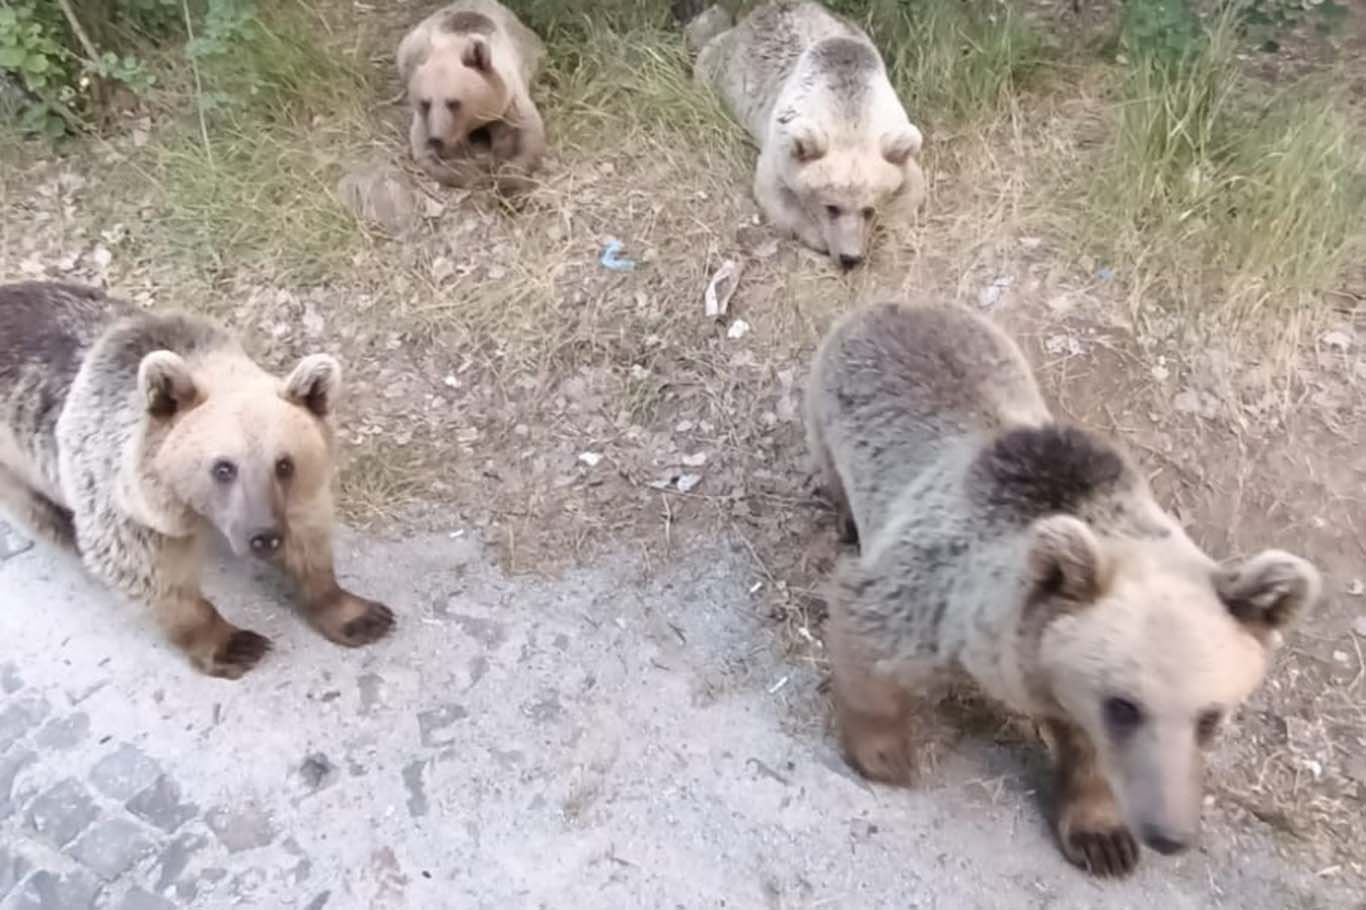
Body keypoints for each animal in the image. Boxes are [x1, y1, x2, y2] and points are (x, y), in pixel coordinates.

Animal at [0, 280, 396, 677]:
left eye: (285, 464)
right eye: (223, 467)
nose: (263, 538)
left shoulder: (294, 497)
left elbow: (308, 538)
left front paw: (357, 614)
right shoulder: (127, 497)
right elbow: (150, 572)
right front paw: (234, 644)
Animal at [693, 0, 928, 269]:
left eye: (868, 209)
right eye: (831, 207)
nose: (850, 257)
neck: (849, 116)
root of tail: (759, 11)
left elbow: (912, 187)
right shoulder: (780, 145)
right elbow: (775, 195)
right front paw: (818, 237)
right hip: (723, 64)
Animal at [803, 297, 1316, 874]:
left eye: (1211, 717)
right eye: (1124, 705)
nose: (1169, 835)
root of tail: (898, 301)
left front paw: (1104, 838)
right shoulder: (938, 589)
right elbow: (868, 634)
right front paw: (884, 755)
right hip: (826, 411)